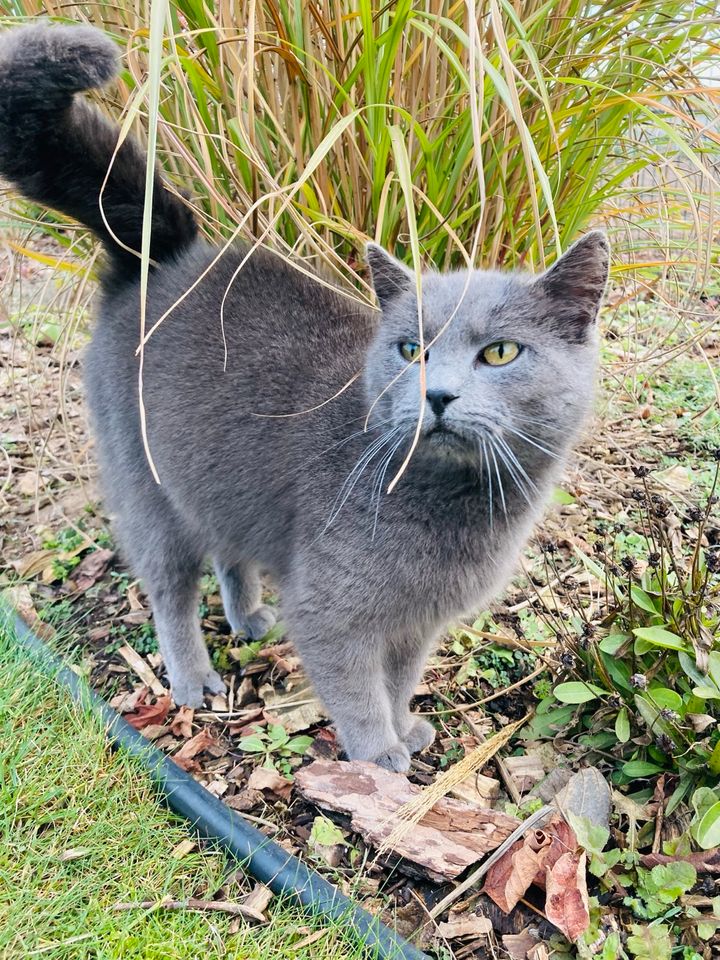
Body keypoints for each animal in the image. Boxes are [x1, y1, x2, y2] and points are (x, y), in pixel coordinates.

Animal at [0, 24, 608, 772]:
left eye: (500, 353)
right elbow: (356, 687)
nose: (436, 394)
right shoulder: (332, 611)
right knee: (169, 589)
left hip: (216, 478)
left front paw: (406, 728)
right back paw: (194, 680)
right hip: (147, 485)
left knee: (230, 550)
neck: (460, 506)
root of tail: (160, 259)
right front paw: (379, 755)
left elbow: (400, 678)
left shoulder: (415, 623)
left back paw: (248, 618)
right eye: (411, 350)